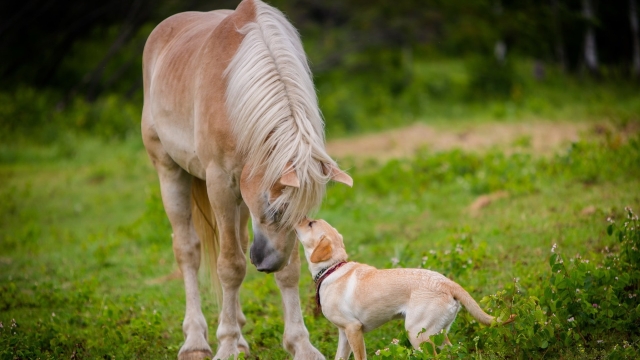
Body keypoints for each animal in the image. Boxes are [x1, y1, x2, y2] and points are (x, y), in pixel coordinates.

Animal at [140, 0, 352, 360]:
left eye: (304, 217)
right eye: (273, 209)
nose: (266, 263)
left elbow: (290, 269)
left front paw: (300, 345)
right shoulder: (220, 184)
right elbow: (230, 266)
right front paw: (226, 344)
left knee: (235, 243)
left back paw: (238, 331)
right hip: (169, 171)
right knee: (188, 251)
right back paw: (196, 341)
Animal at [296, 218, 516, 358]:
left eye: (310, 223)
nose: (298, 217)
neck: (331, 268)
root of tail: (447, 282)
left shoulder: (354, 329)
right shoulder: (344, 334)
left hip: (417, 334)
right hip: (438, 334)